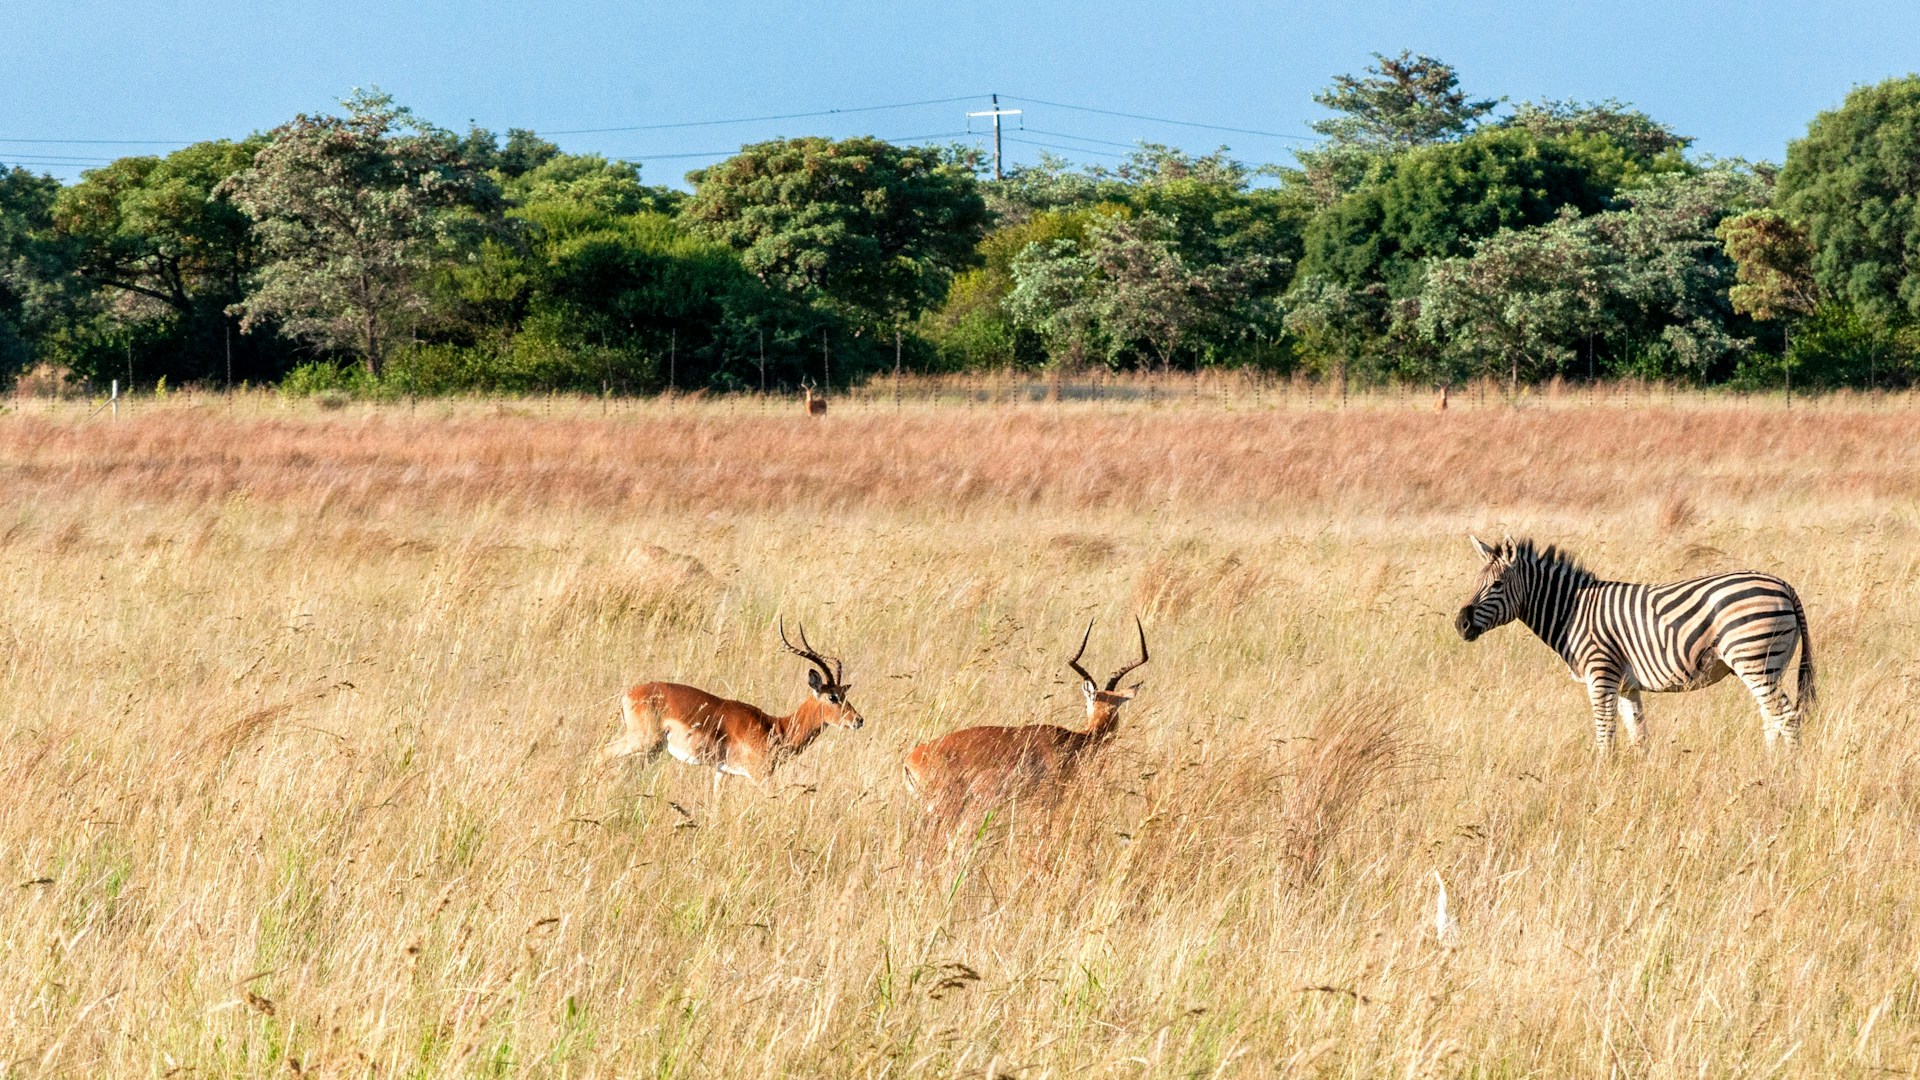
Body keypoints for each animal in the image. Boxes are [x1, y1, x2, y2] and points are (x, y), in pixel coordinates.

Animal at [597, 620, 864, 790]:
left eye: (844, 693)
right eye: (832, 697)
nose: (858, 720)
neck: (776, 727)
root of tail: (628, 694)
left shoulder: (722, 772)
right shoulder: (760, 776)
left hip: (651, 750)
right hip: (642, 741)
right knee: (602, 753)